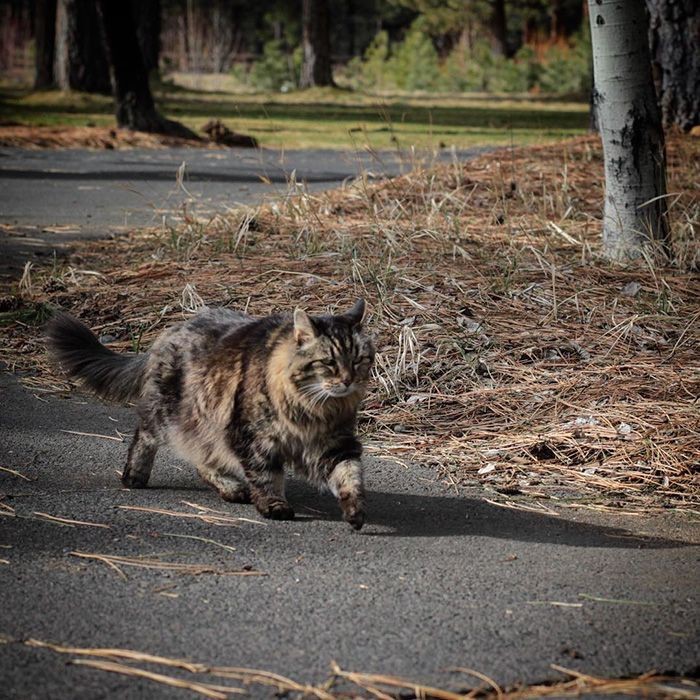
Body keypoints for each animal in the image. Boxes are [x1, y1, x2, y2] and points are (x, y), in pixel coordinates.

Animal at [46, 296, 374, 532]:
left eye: (358, 360)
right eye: (329, 362)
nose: (348, 380)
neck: (313, 409)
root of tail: (171, 330)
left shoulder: (334, 443)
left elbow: (349, 474)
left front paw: (355, 511)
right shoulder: (252, 437)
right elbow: (266, 476)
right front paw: (273, 506)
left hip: (207, 425)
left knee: (203, 461)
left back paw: (232, 489)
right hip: (172, 415)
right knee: (145, 434)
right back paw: (135, 476)